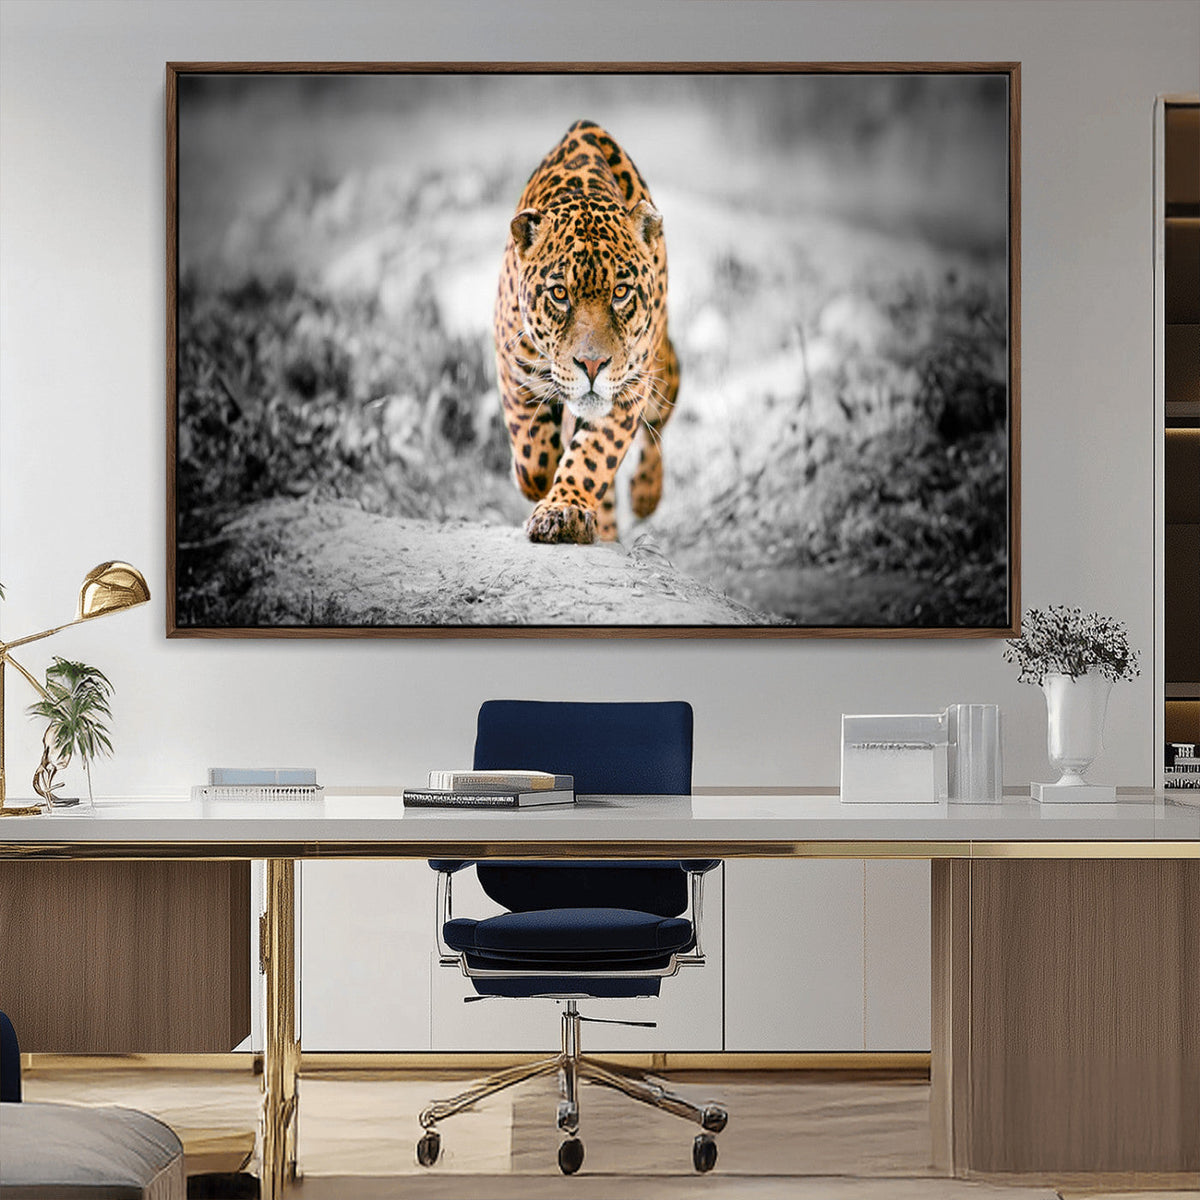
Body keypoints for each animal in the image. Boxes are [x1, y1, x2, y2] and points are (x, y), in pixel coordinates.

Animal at [493, 120, 680, 544]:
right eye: (560, 294)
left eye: (621, 292)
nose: (592, 366)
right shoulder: (513, 364)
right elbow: (532, 454)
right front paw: (538, 481)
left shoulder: (630, 387)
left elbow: (593, 455)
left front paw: (563, 510)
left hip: (662, 370)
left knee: (659, 425)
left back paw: (645, 494)